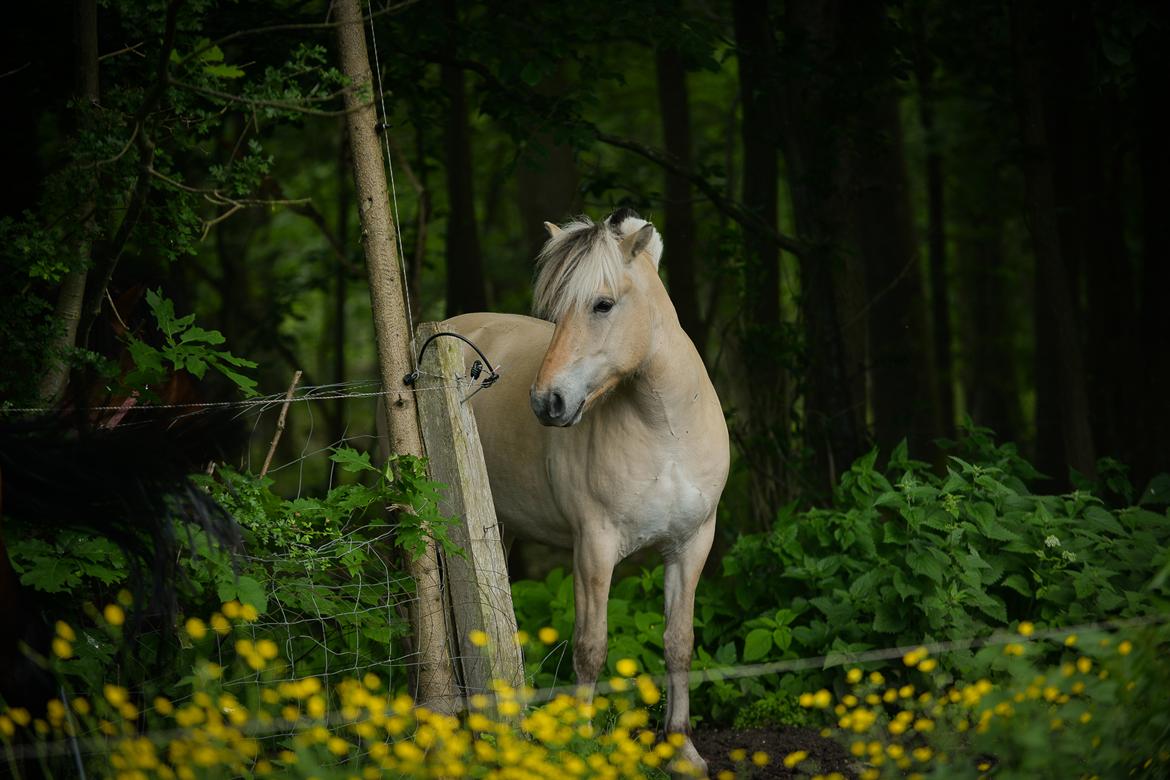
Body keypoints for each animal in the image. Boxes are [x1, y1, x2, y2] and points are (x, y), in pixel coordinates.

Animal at [444, 209, 725, 776]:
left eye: (602, 304)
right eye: (554, 311)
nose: (547, 402)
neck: (667, 431)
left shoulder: (691, 544)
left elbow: (679, 643)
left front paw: (681, 749)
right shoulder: (593, 547)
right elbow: (590, 647)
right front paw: (578, 745)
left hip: (498, 530)